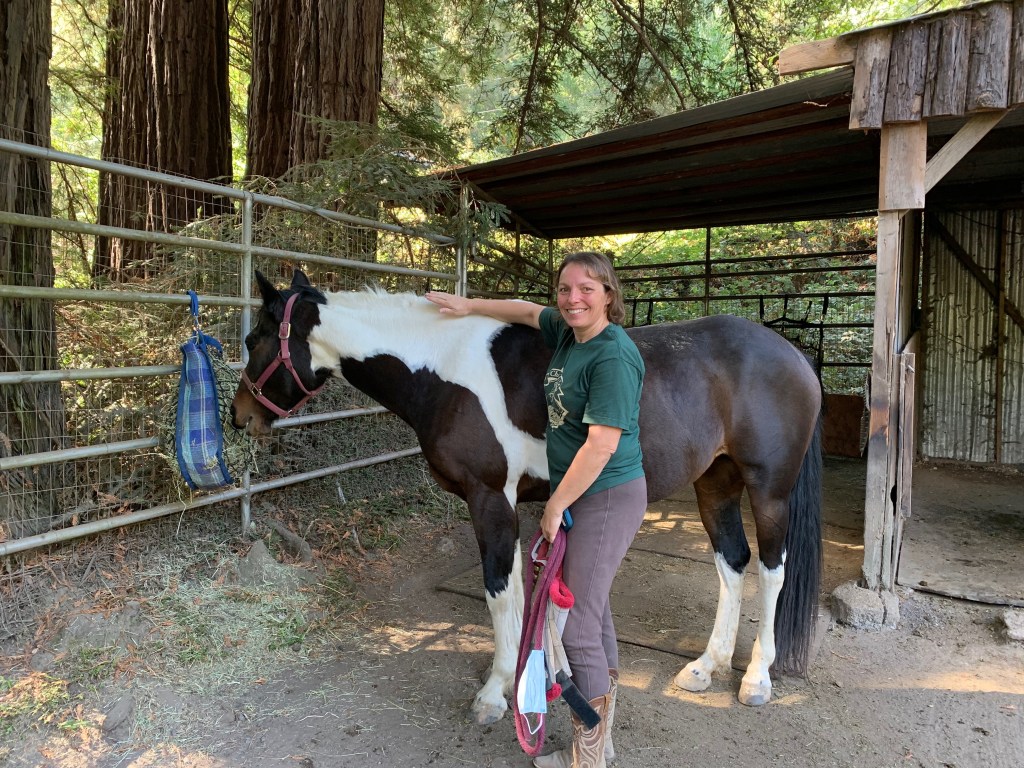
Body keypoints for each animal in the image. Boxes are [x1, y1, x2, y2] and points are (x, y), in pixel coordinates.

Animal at [230, 270, 823, 725]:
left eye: (254, 340)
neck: (444, 368)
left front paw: (495, 694)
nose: (240, 417)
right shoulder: (510, 504)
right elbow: (518, 590)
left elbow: (498, 591)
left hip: (768, 489)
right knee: (732, 563)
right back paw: (706, 667)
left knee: (771, 569)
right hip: (715, 483)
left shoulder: (489, 498)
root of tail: (793, 355)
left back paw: (756, 679)